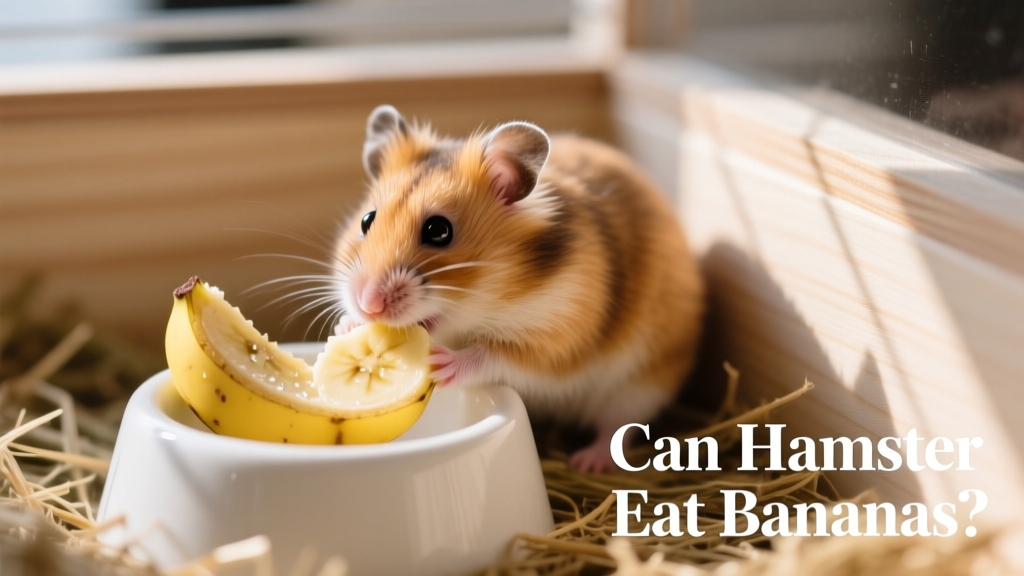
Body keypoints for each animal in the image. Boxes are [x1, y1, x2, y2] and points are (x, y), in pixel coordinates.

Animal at [331, 105, 704, 472]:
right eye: (366, 220)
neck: (493, 302)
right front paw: (346, 327)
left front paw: (441, 365)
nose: (368, 304)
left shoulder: (561, 335)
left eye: (439, 230)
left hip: (642, 384)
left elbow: (499, 356)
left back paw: (588, 462)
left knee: (618, 427)